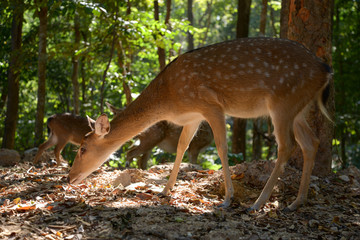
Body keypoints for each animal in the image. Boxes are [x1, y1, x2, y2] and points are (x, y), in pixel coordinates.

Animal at [67, 36, 332, 211]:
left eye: (83, 148)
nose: (70, 178)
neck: (169, 98)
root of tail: (326, 70)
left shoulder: (211, 106)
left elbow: (222, 148)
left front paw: (228, 198)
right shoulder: (193, 117)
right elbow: (181, 147)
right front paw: (164, 191)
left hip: (283, 102)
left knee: (287, 146)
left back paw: (258, 203)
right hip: (298, 108)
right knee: (311, 142)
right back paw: (297, 202)